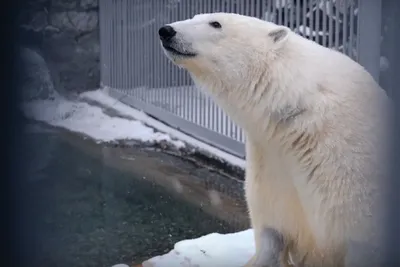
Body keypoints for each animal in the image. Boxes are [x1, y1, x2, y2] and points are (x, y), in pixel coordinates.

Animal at [159, 13, 390, 267]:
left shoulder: (349, 170)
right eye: (195, 16)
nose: (166, 31)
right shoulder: (271, 158)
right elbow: (273, 227)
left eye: (216, 23)